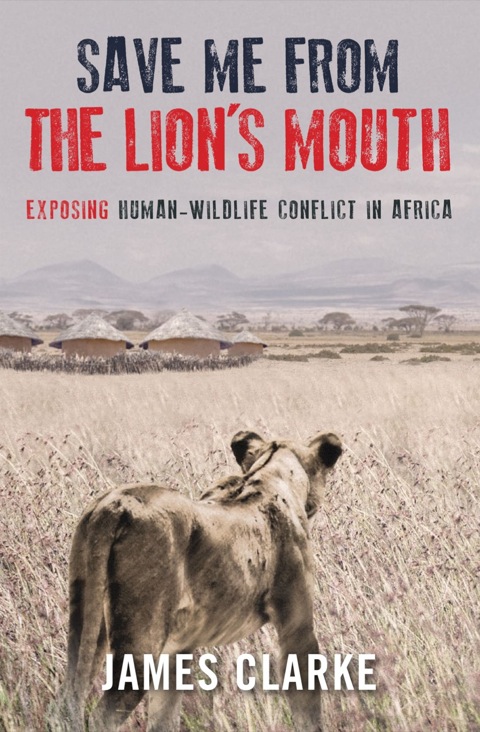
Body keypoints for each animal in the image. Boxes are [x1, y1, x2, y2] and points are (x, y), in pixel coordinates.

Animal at [64, 429, 342, 731]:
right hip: (139, 641)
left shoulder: (177, 649)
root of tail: (115, 504)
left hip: (86, 627)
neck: (270, 473)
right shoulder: (296, 628)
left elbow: (164, 717)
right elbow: (307, 702)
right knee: (103, 715)